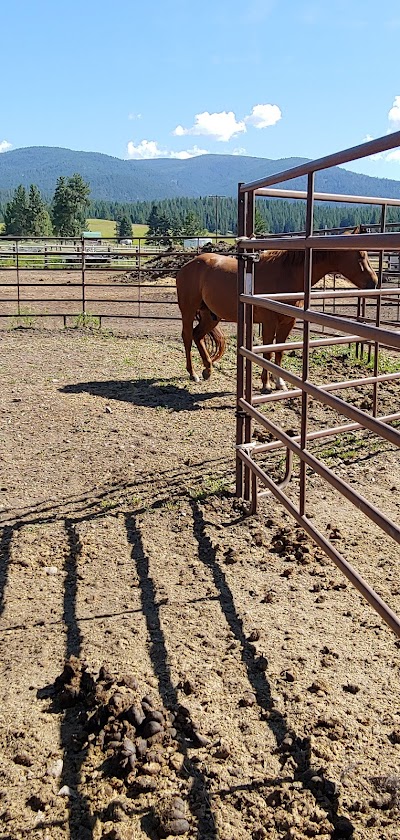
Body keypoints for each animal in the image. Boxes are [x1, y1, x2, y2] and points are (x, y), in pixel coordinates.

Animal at [176, 241, 378, 388]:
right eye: (360, 256)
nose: (374, 282)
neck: (287, 274)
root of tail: (188, 265)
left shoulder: (287, 322)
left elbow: (279, 351)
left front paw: (280, 382)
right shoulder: (269, 322)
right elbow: (268, 353)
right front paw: (266, 384)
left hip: (211, 315)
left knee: (198, 335)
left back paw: (208, 370)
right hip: (188, 311)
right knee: (187, 337)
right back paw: (193, 373)